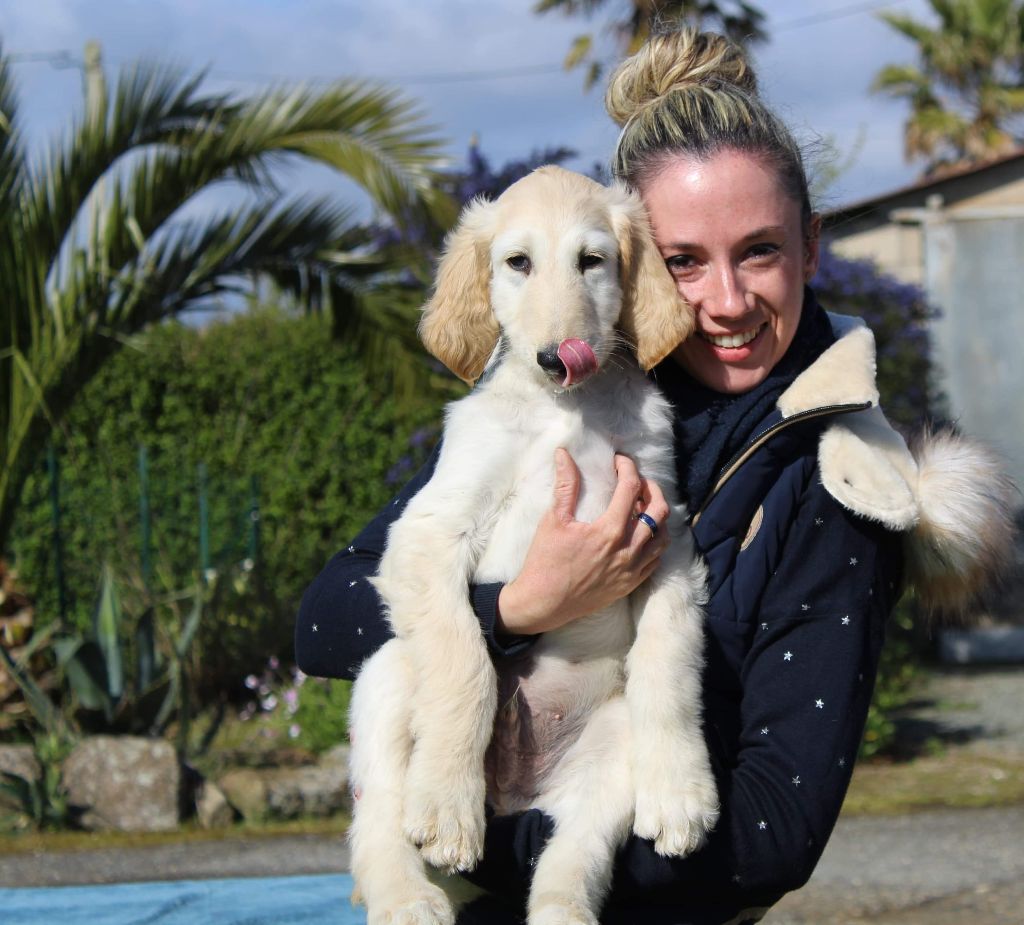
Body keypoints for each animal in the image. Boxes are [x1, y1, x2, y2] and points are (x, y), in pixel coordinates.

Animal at [348, 165, 716, 925]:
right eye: (517, 262)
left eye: (592, 260)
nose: (556, 358)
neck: (565, 412)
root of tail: (515, 798)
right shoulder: (428, 530)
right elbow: (463, 659)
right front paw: (447, 807)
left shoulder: (664, 534)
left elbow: (668, 657)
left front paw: (681, 793)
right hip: (386, 674)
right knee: (376, 825)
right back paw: (409, 895)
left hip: (609, 744)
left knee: (574, 853)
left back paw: (562, 908)